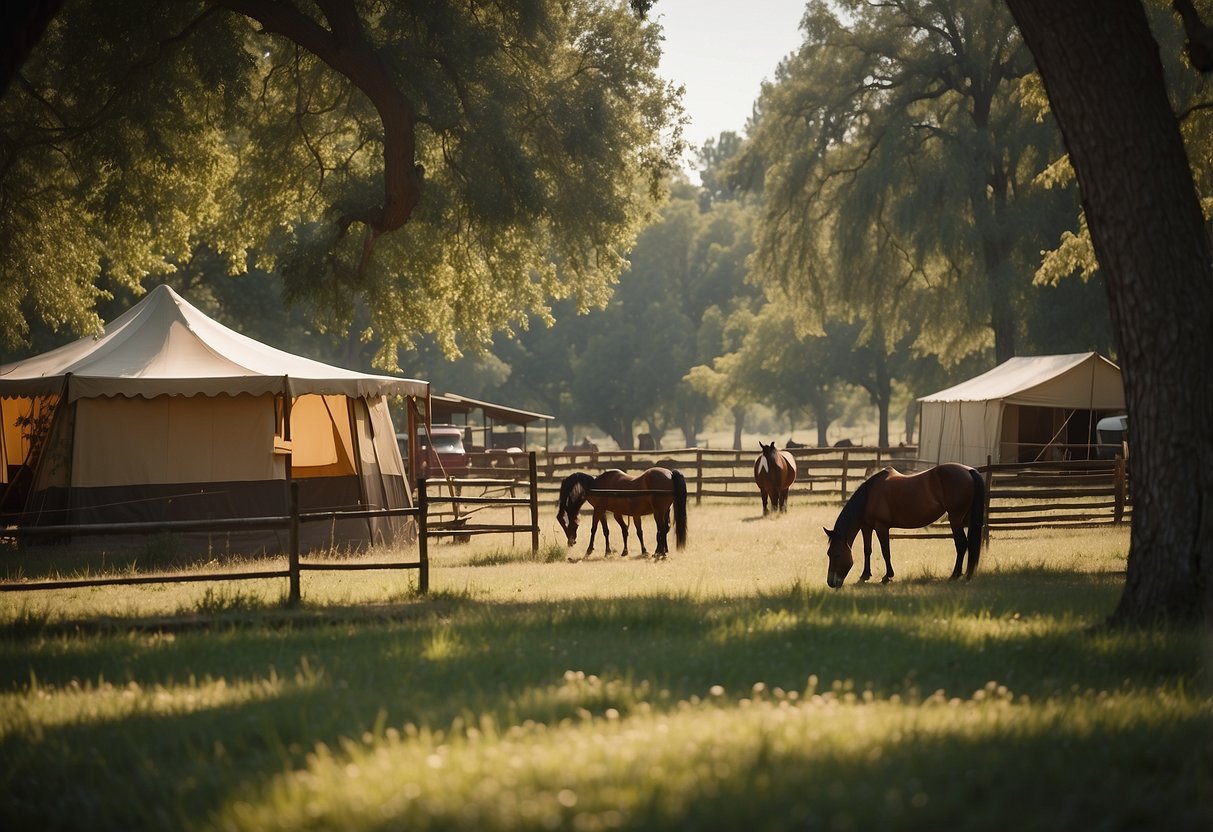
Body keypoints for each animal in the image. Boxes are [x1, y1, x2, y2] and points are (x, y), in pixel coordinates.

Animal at [555, 470, 688, 560]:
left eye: (566, 523)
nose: (571, 542)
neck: (595, 485)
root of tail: (670, 473)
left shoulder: (598, 510)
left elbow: (594, 529)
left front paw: (589, 551)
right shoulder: (607, 511)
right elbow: (609, 530)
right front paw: (610, 552)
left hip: (658, 513)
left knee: (661, 529)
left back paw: (659, 552)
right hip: (664, 512)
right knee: (664, 529)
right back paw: (662, 551)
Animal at [824, 463, 984, 594]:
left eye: (837, 555)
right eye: (829, 554)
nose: (831, 583)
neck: (869, 496)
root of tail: (969, 471)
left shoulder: (881, 527)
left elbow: (886, 552)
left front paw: (887, 577)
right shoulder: (866, 527)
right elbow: (867, 551)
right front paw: (865, 575)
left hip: (955, 519)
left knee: (961, 544)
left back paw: (955, 575)